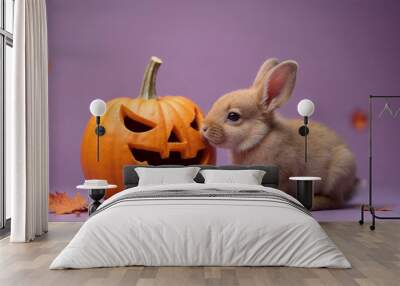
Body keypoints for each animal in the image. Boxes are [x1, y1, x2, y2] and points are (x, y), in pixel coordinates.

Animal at [202, 58, 358, 210]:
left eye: (233, 116)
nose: (203, 128)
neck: (261, 138)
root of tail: (352, 185)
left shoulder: (284, 174)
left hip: (338, 173)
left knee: (336, 201)